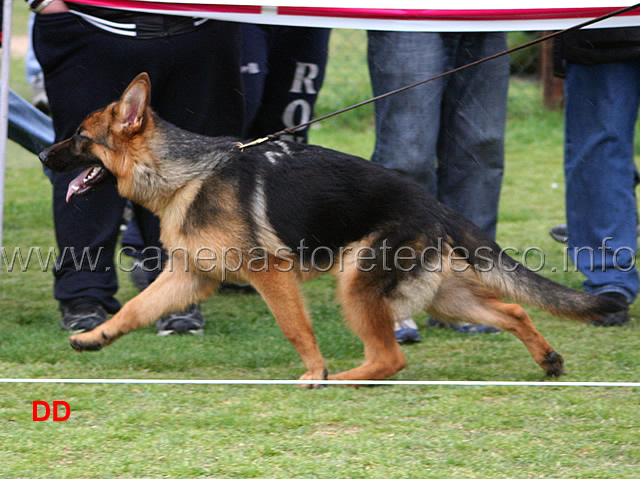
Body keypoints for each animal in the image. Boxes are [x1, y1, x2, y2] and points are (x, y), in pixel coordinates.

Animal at [38, 74, 620, 382]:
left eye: (80, 137)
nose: (43, 155)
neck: (185, 174)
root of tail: (433, 203)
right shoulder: (190, 277)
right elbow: (135, 309)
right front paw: (95, 337)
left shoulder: (270, 276)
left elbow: (296, 328)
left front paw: (314, 371)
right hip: (441, 296)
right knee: (513, 309)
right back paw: (547, 358)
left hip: (357, 284)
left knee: (390, 356)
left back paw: (338, 380)